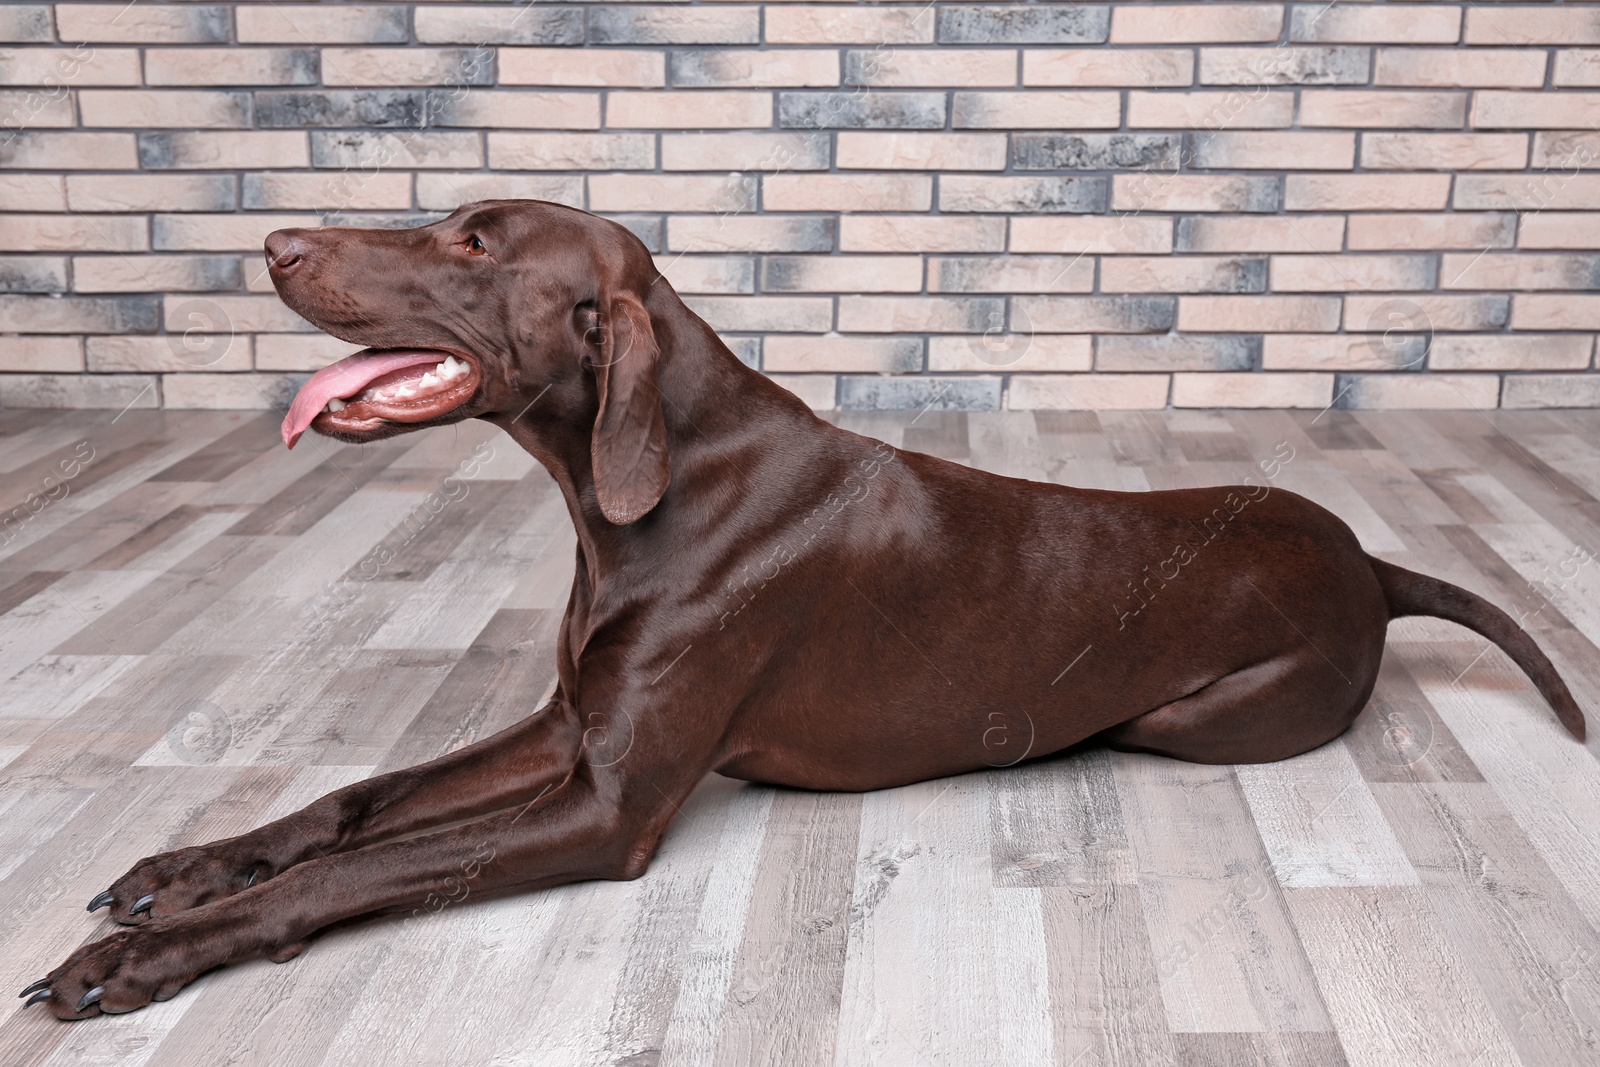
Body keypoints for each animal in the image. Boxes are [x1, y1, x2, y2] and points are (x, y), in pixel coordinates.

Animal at [18, 199, 1580, 1017]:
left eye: (472, 243)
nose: (273, 242)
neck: (648, 487)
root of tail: (1371, 560)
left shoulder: (610, 804)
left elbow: (360, 869)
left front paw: (143, 956)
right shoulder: (571, 730)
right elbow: (352, 805)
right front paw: (186, 868)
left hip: (1193, 719)